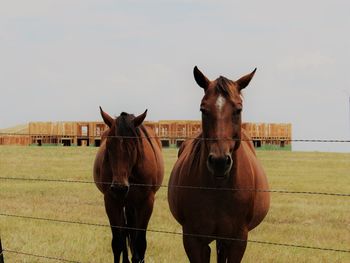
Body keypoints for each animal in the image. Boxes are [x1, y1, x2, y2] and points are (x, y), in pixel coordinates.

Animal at [93, 107, 164, 263]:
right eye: (108, 146)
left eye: (133, 146)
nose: (119, 187)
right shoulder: (111, 201)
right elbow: (118, 242)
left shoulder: (146, 202)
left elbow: (140, 243)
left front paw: (137, 257)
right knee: (125, 231)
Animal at [168, 67, 270, 262]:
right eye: (203, 109)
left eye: (238, 109)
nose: (219, 162)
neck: (218, 188)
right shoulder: (192, 240)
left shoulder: (238, 241)